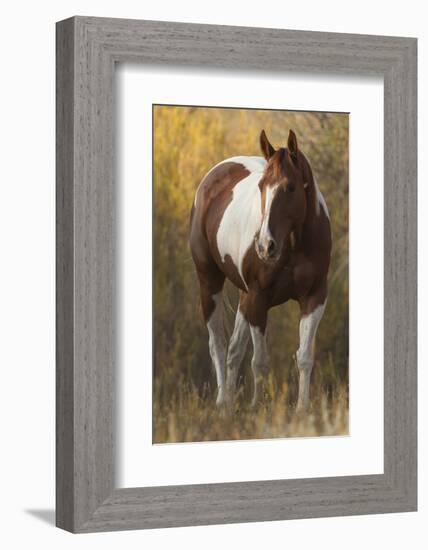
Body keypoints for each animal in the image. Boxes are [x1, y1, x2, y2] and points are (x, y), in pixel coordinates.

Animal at [189, 129, 332, 412]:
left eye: (290, 187)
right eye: (261, 187)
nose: (266, 246)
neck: (295, 244)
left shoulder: (314, 298)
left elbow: (304, 357)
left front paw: (302, 409)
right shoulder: (259, 298)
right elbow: (260, 360)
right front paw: (257, 407)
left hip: (245, 297)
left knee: (233, 350)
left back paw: (230, 404)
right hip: (210, 284)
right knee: (218, 345)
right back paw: (222, 402)